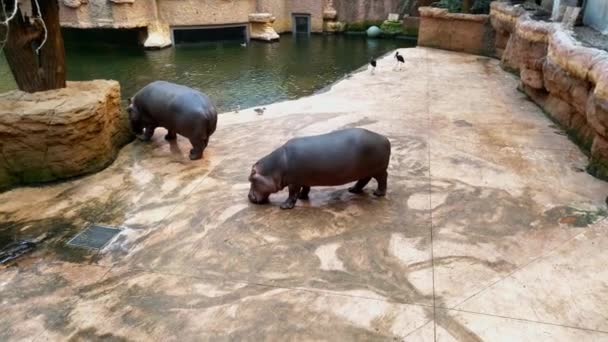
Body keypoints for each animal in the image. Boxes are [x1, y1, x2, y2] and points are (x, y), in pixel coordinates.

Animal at [247, 127, 390, 208]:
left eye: (251, 179)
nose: (249, 197)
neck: (275, 167)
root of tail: (384, 138)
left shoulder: (294, 182)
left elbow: (292, 194)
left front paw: (284, 206)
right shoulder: (303, 179)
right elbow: (306, 188)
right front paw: (302, 197)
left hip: (379, 170)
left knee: (382, 179)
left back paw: (378, 194)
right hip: (365, 170)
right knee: (364, 180)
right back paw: (352, 190)